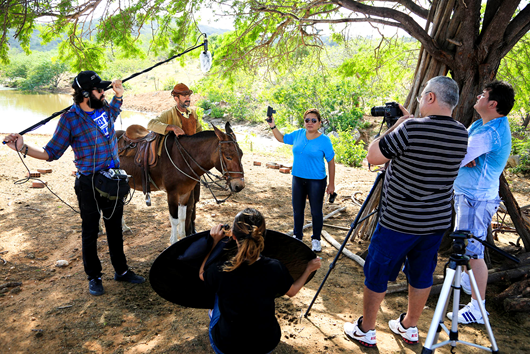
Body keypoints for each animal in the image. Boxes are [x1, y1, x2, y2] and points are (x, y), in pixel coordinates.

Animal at [116, 122, 244, 243]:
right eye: (228, 157)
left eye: (241, 154)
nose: (239, 185)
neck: (182, 159)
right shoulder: (172, 194)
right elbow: (174, 220)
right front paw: (173, 241)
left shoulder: (185, 193)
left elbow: (183, 217)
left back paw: (124, 227)